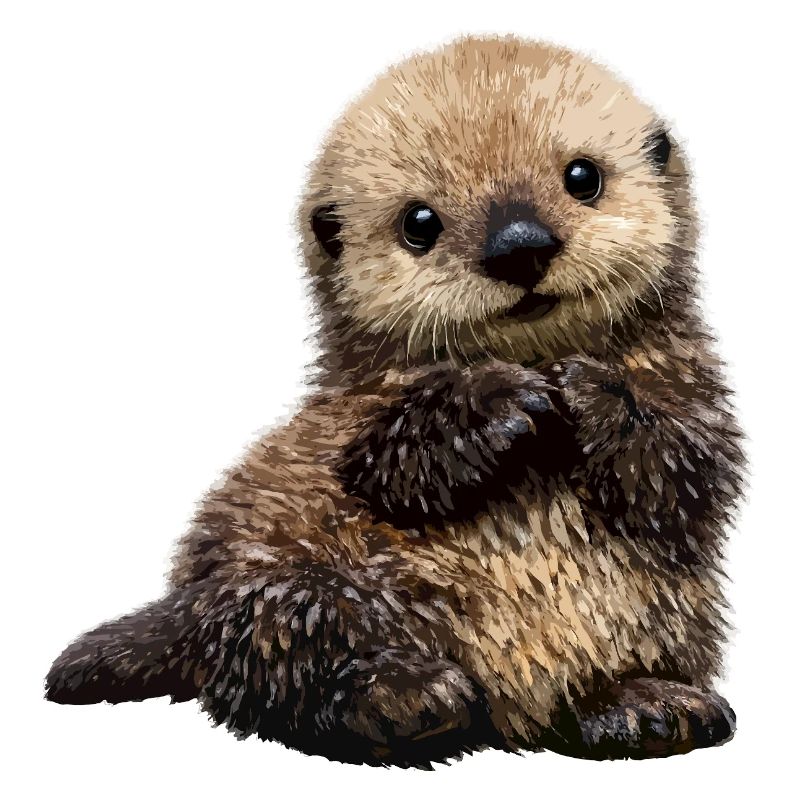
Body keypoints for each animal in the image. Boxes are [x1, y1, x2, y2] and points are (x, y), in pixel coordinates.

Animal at [45, 37, 744, 767]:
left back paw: (645, 705)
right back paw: (406, 697)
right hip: (287, 583)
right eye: (419, 222)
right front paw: (498, 402)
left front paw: (588, 393)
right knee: (286, 660)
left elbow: (684, 469)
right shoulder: (351, 412)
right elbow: (387, 467)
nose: (519, 245)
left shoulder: (694, 388)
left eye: (584, 177)